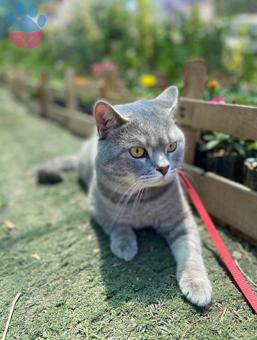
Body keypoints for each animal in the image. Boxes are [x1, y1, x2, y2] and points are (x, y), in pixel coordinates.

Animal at [37, 86, 210, 306]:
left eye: (172, 146)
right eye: (137, 151)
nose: (164, 168)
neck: (143, 200)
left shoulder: (182, 219)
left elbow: (191, 250)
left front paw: (197, 283)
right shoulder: (97, 208)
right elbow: (117, 225)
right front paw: (125, 245)